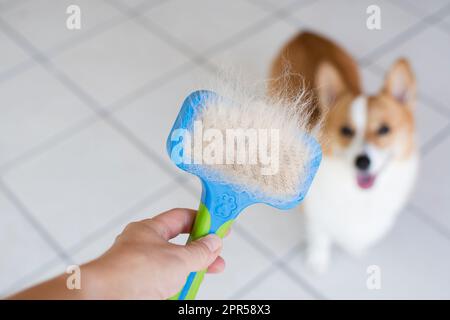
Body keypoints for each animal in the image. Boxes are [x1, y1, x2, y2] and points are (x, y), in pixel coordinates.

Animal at [268, 31, 418, 272]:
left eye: (384, 129)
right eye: (346, 131)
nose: (362, 161)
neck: (357, 195)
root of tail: (304, 33)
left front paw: (357, 250)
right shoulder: (317, 215)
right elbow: (320, 238)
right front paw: (318, 262)